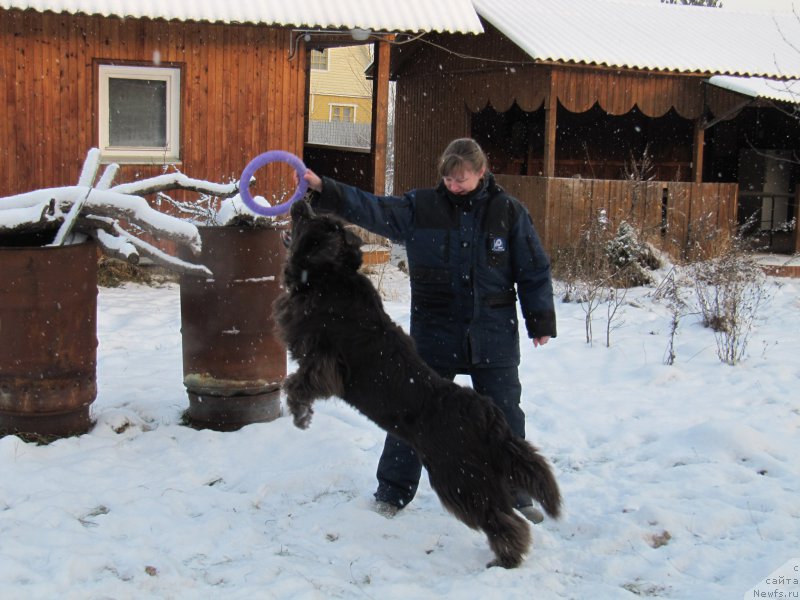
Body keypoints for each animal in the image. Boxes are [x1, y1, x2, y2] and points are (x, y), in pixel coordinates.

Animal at [276, 199, 564, 568]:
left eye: (313, 221)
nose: (301, 201)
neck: (329, 277)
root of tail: (487, 417)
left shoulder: (325, 362)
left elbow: (296, 383)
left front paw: (300, 416)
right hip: (476, 475)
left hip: (459, 478)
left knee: (502, 520)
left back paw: (506, 561)